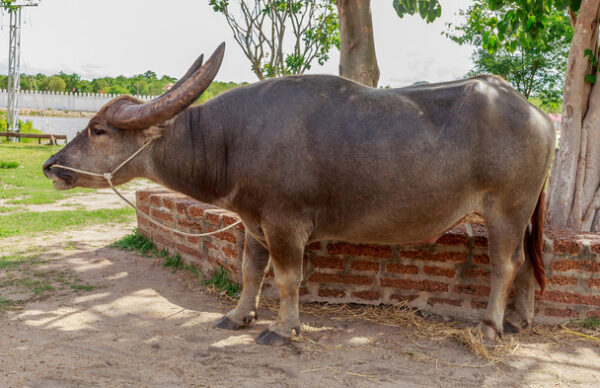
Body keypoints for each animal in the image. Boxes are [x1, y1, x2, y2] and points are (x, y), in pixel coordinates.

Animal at [44, 44, 556, 348]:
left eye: (98, 129)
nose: (51, 166)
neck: (232, 138)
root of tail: (537, 114)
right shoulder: (253, 222)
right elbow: (251, 271)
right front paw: (238, 316)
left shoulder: (286, 223)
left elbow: (289, 277)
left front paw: (281, 329)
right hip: (521, 215)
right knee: (526, 264)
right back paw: (518, 321)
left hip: (506, 209)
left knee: (506, 264)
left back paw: (489, 328)